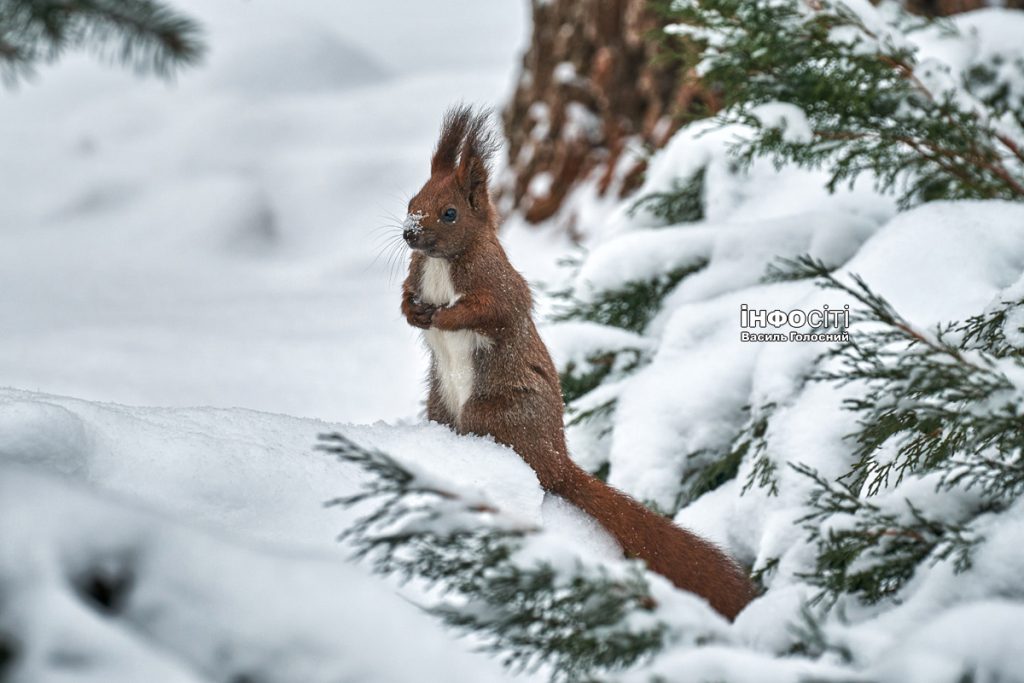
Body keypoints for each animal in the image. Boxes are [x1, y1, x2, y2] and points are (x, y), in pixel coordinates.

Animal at [403, 105, 757, 618]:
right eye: (412, 200)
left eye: (449, 213)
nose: (409, 233)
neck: (439, 264)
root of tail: (559, 461)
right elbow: (405, 298)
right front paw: (413, 312)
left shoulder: (499, 284)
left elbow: (490, 310)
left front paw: (444, 316)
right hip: (441, 406)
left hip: (492, 413)